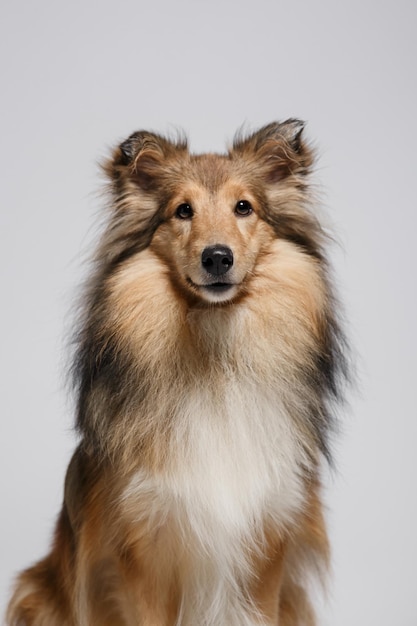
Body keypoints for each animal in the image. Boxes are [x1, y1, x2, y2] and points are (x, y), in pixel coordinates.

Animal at [6, 119, 348, 620]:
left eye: (244, 207)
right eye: (182, 211)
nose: (217, 257)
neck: (214, 352)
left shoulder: (267, 545)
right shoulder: (142, 549)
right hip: (34, 592)